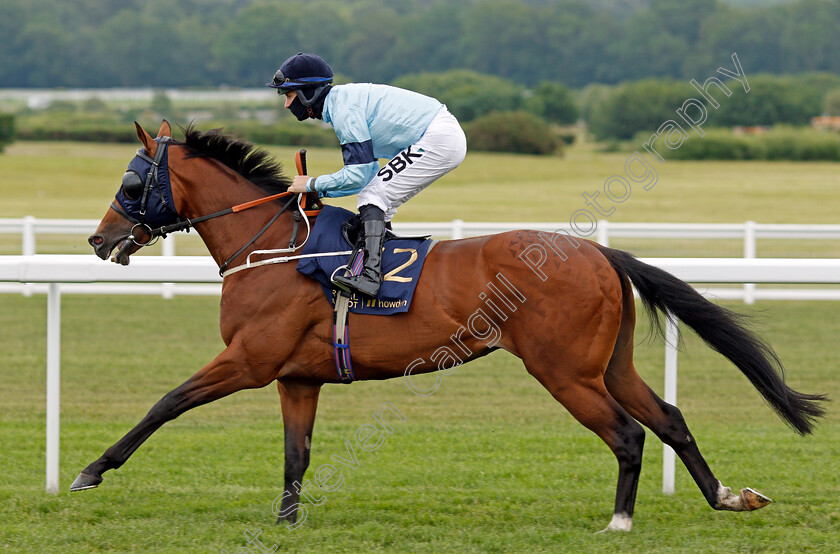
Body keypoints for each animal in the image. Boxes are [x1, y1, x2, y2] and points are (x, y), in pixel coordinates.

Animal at [75, 122, 824, 532]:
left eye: (132, 182)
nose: (98, 239)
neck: (274, 249)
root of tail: (597, 252)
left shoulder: (250, 360)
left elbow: (166, 402)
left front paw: (91, 470)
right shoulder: (296, 376)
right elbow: (296, 453)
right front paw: (287, 520)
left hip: (563, 369)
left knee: (627, 433)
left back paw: (619, 520)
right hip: (608, 363)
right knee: (668, 417)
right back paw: (728, 496)